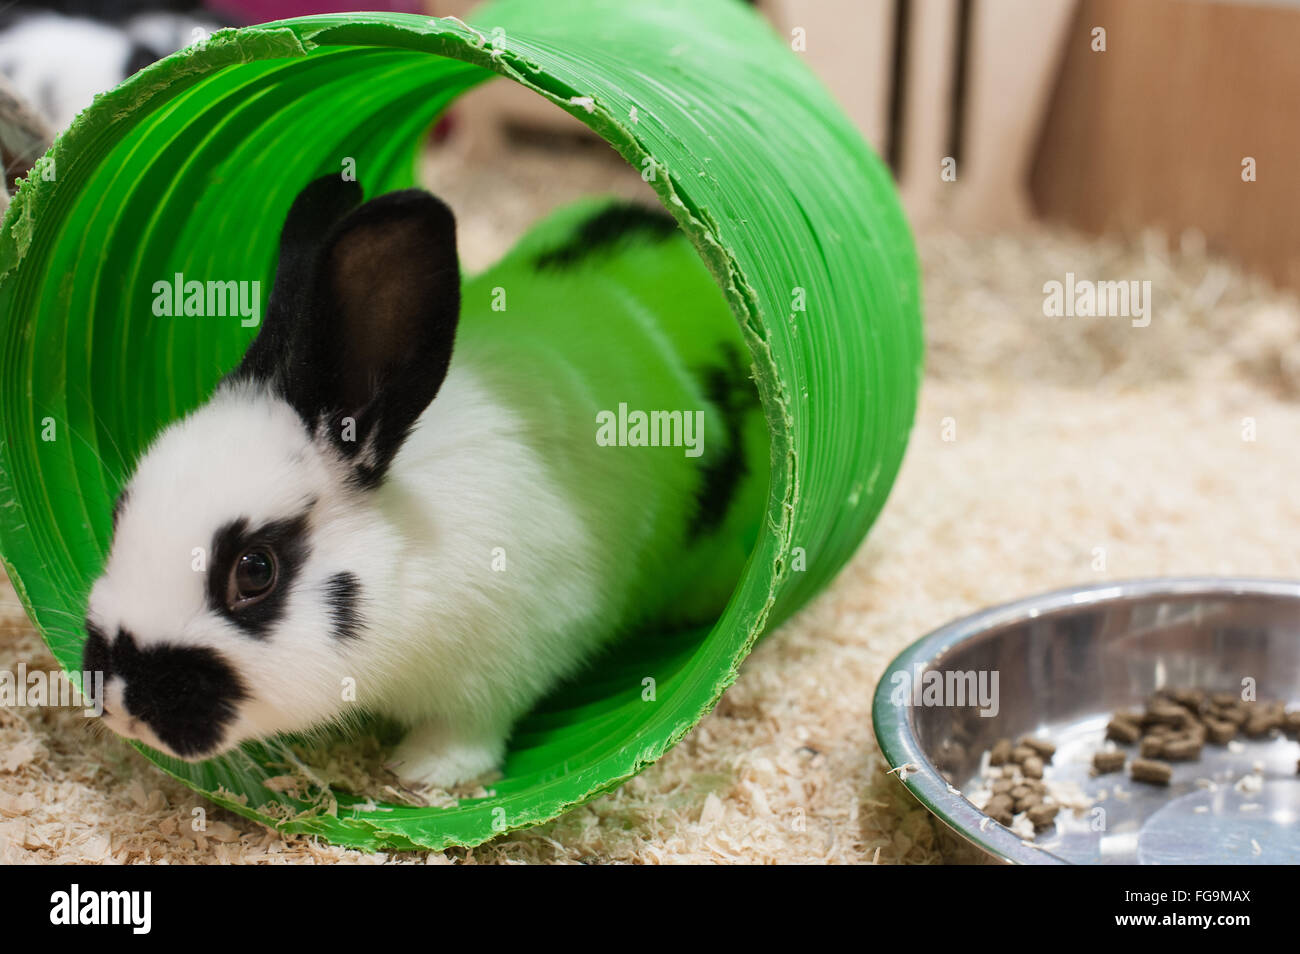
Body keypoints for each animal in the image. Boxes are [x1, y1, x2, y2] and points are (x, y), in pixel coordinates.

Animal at [78, 175, 759, 790]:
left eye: (255, 571)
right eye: (119, 513)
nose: (121, 700)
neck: (409, 549)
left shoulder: (515, 651)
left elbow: (471, 725)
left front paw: (425, 772)